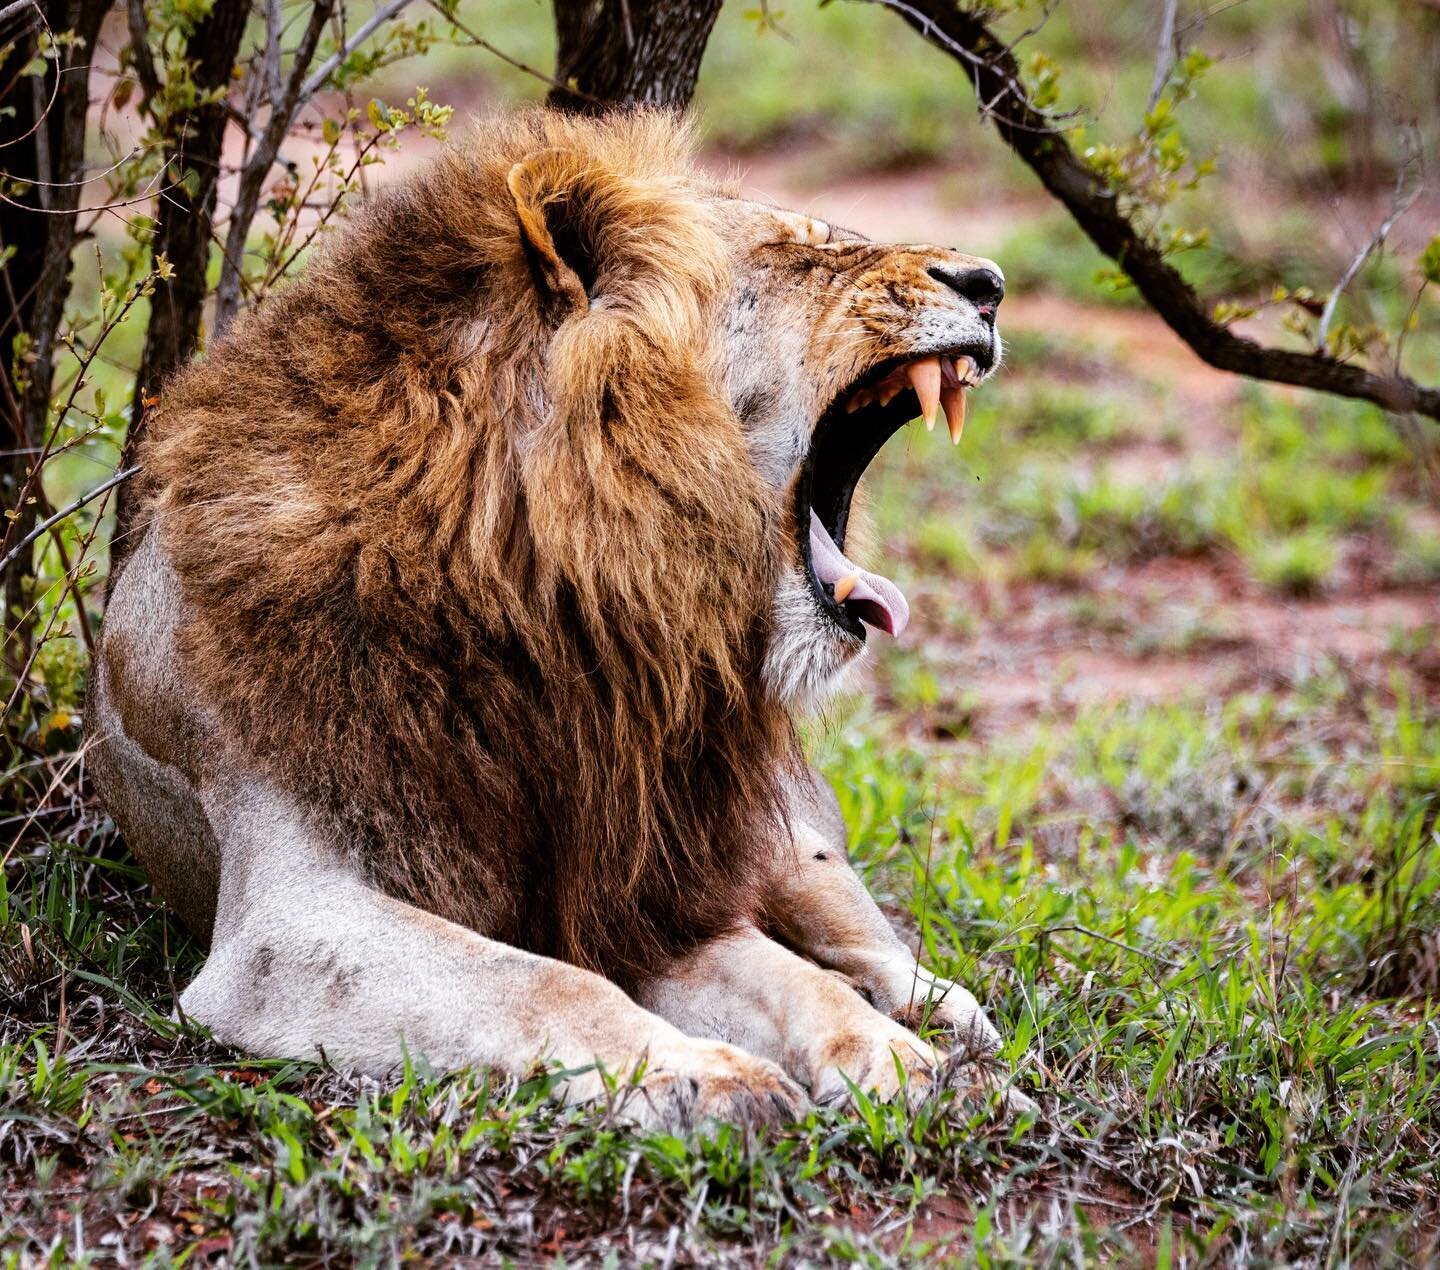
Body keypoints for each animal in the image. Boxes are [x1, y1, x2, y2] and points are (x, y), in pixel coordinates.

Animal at [92, 106, 1013, 1117]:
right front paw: (707, 1074)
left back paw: (944, 1022)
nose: (991, 285)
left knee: (859, 935)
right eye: (803, 255)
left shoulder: (642, 885)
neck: (543, 596)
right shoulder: (286, 925)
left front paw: (899, 1062)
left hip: (776, 837)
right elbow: (548, 983)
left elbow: (790, 980)